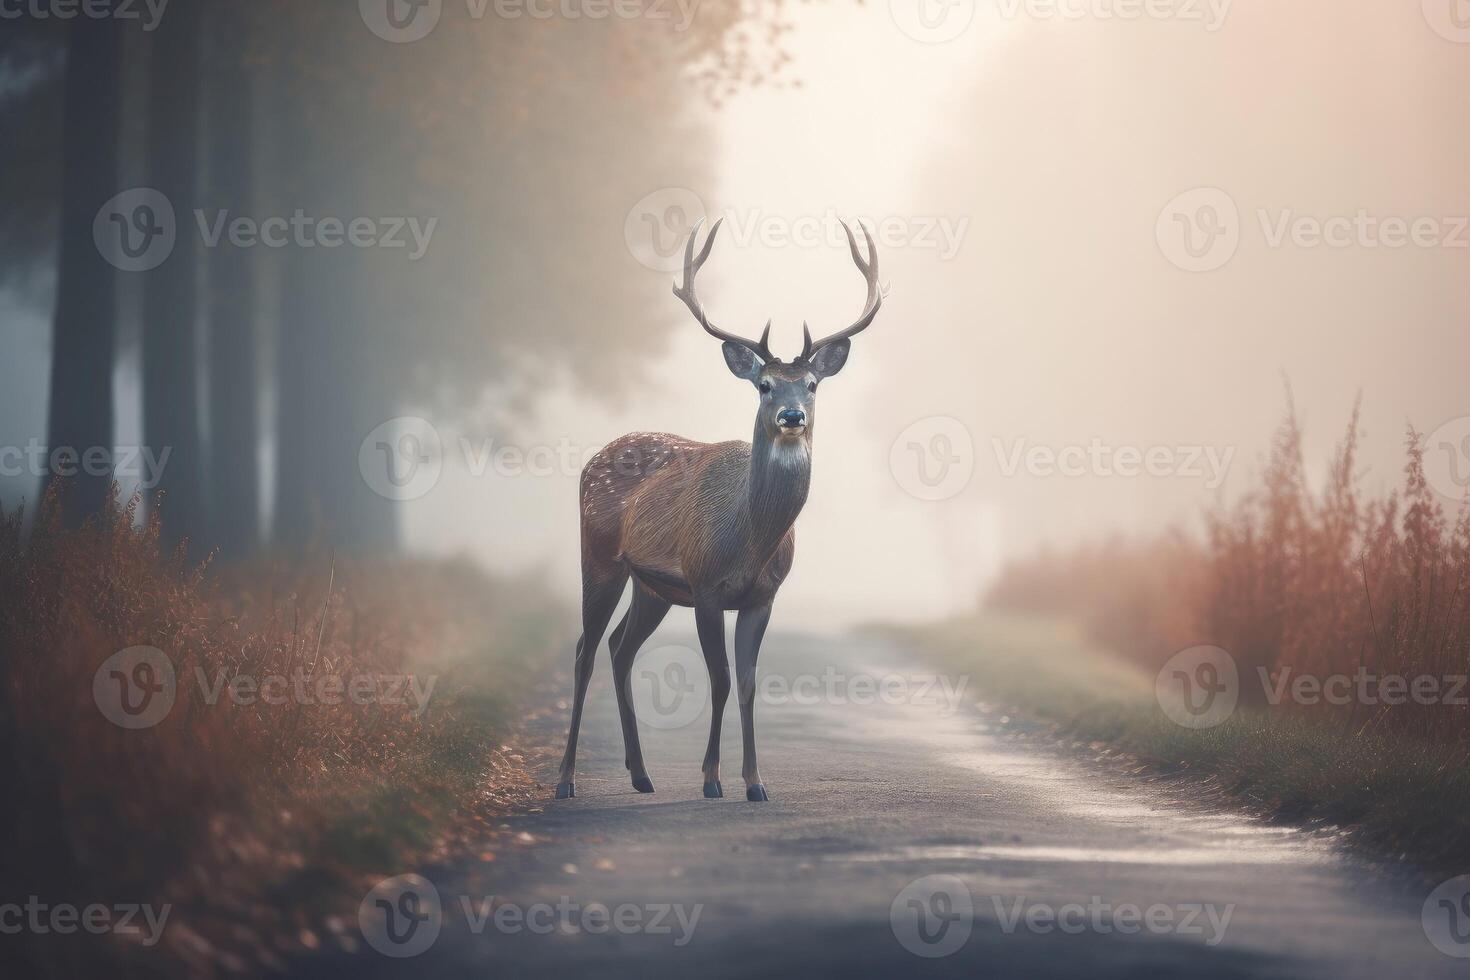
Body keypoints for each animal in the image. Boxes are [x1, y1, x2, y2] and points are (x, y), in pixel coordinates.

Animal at [555, 215, 882, 805]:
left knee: (619, 647)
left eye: (813, 383)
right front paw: (712, 779)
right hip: (599, 556)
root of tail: (594, 458)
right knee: (584, 649)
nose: (793, 416)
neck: (750, 540)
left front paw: (755, 782)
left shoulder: (763, 596)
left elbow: (749, 681)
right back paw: (565, 780)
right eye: (765, 384)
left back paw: (641, 774)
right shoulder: (705, 585)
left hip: (652, 585)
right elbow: (721, 678)